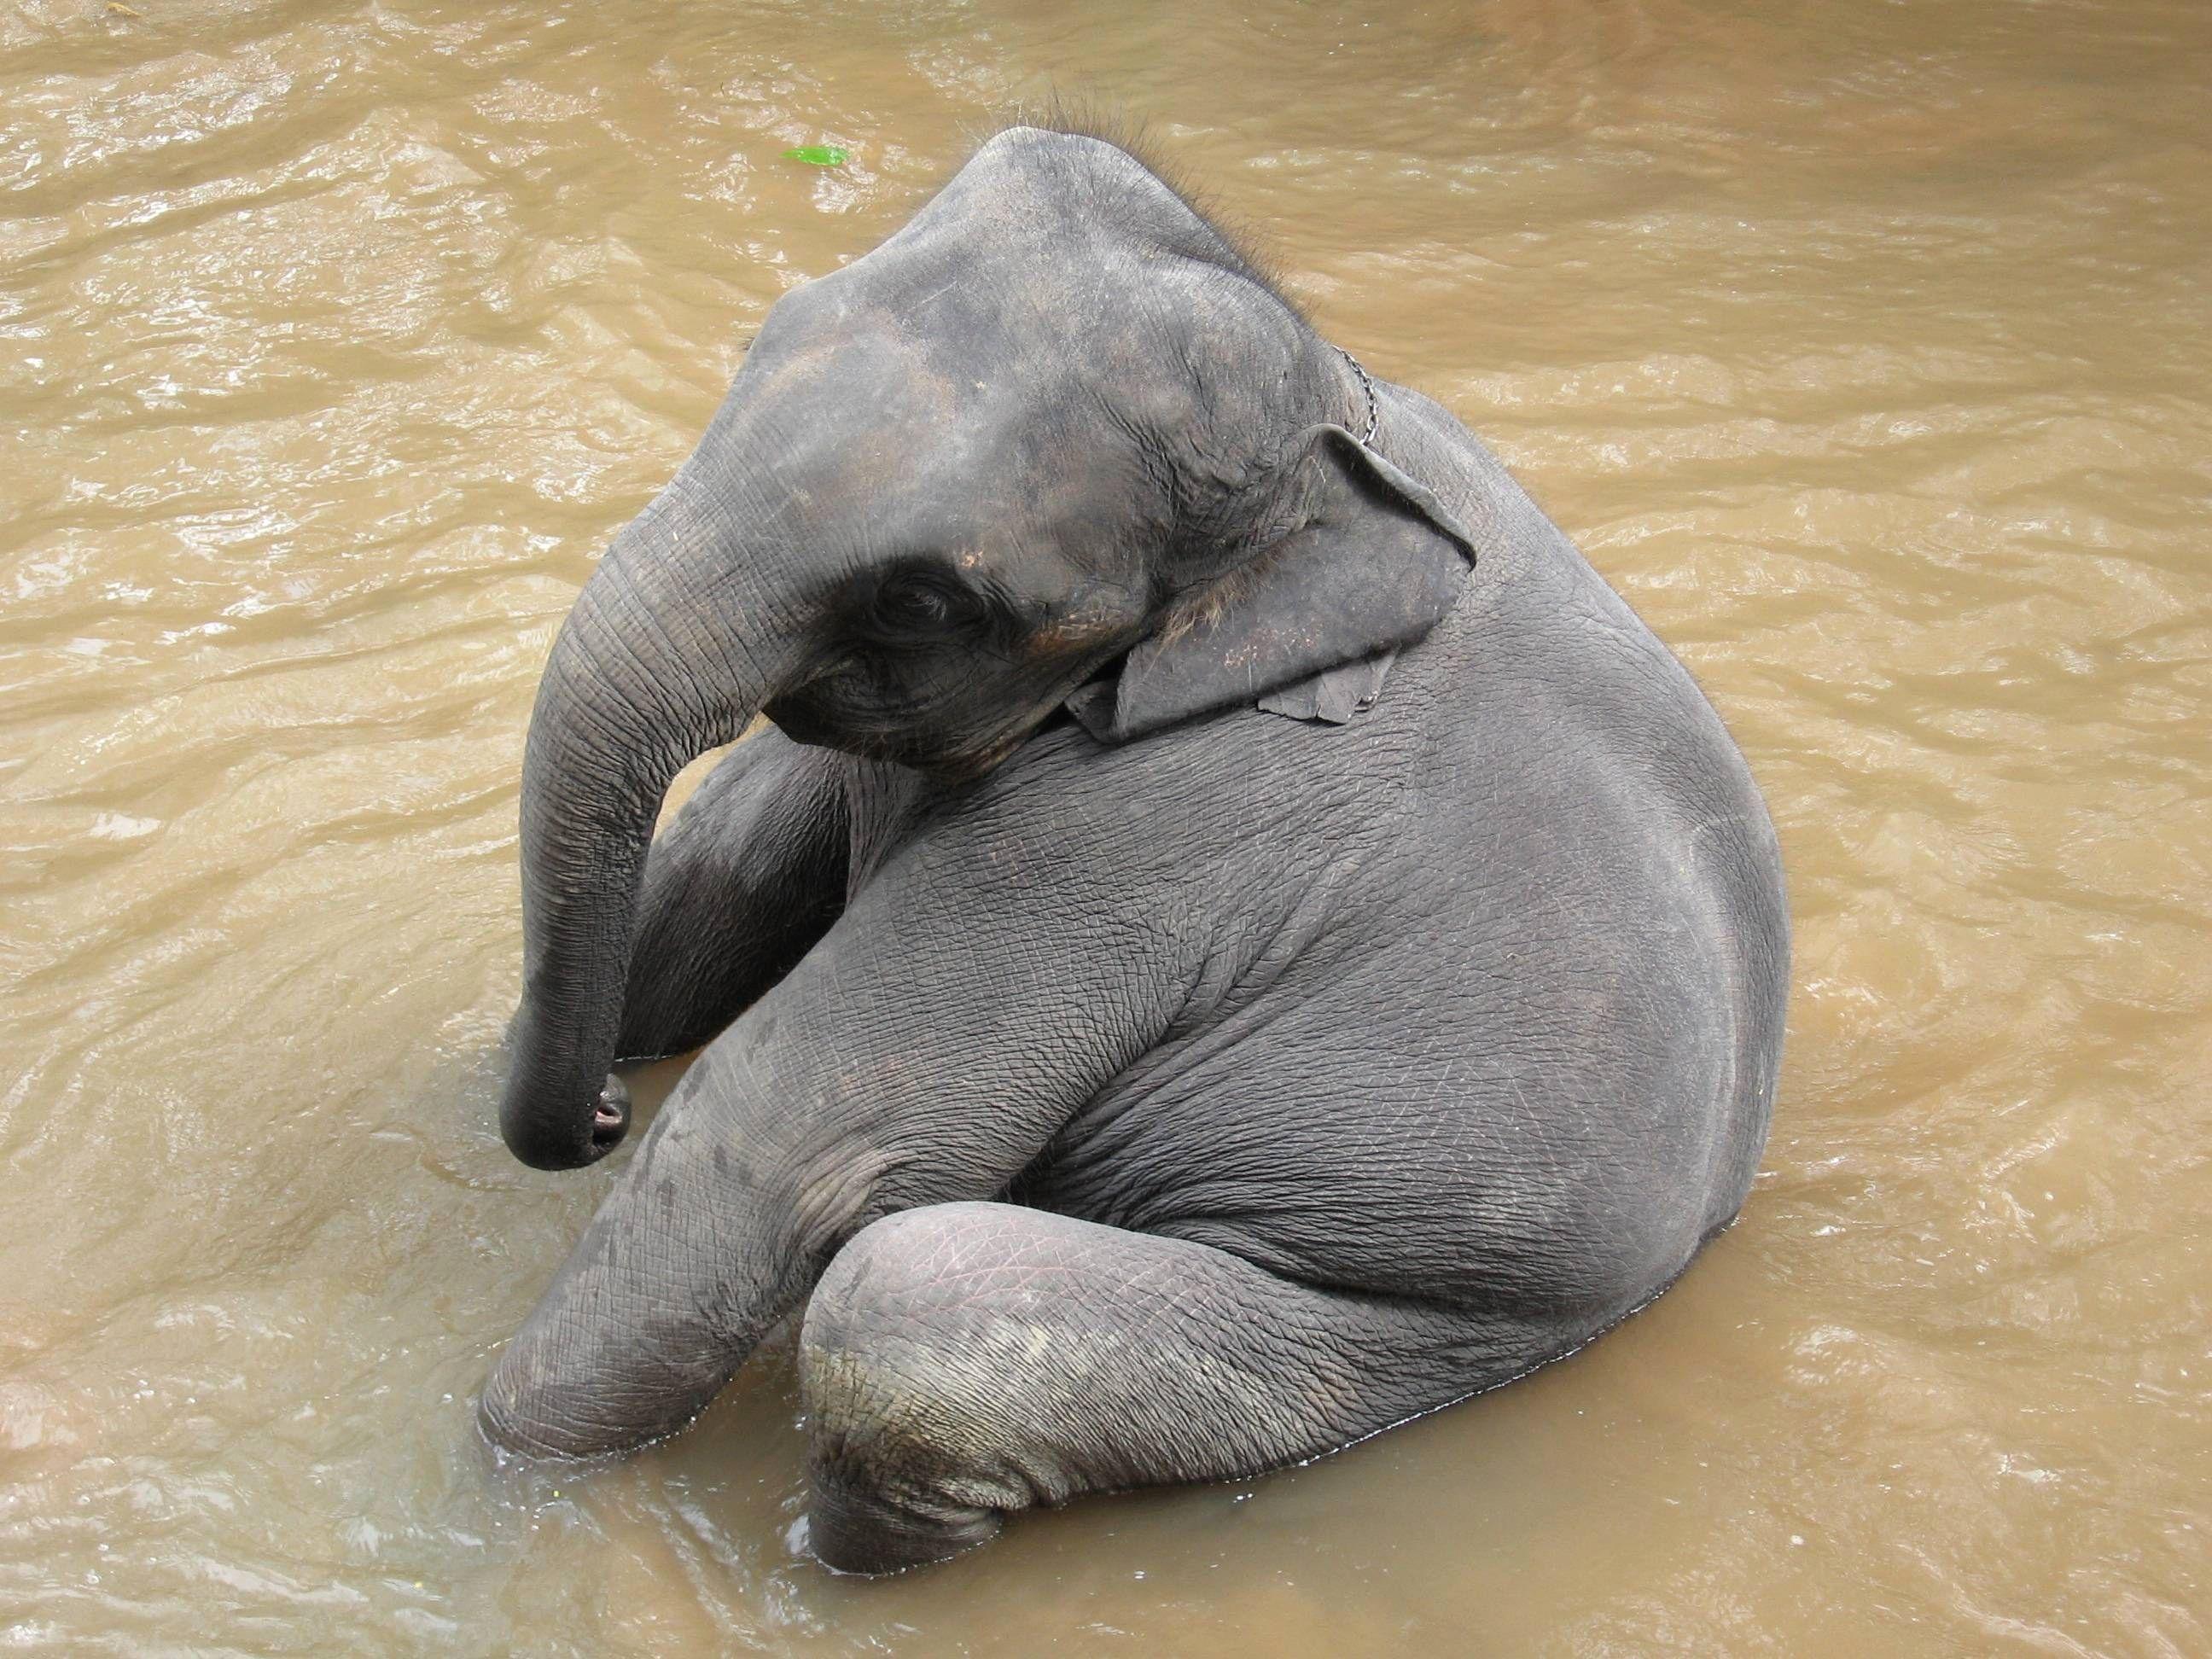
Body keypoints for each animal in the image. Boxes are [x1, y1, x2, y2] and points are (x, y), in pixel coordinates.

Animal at [477, 121, 1789, 1576]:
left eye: (922, 598)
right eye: (768, 333)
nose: (601, 1112)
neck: (1337, 416)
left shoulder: (1151, 832)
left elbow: (777, 1159)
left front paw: (504, 1487)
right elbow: (699, 915)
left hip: (1441, 1315)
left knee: (904, 1317)